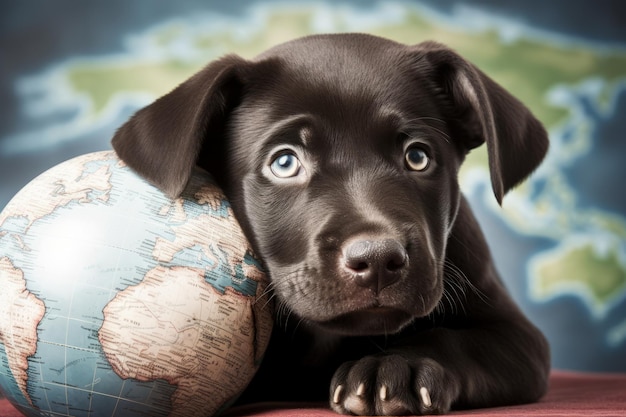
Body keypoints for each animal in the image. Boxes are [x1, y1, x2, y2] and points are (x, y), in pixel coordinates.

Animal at [111, 34, 544, 414]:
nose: (378, 259)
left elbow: (451, 341)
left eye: (418, 156)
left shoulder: (520, 338)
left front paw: (397, 367)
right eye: (285, 162)